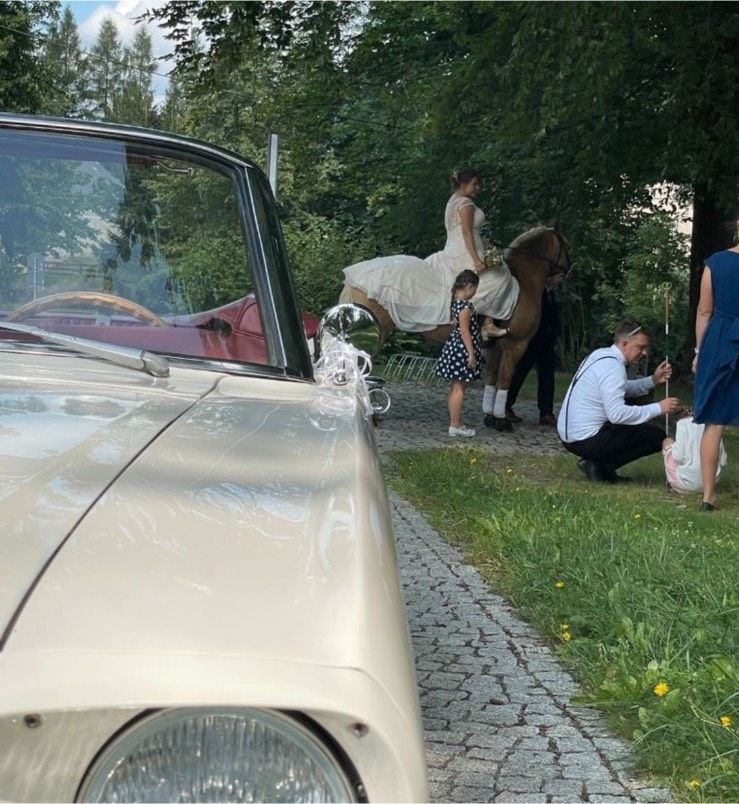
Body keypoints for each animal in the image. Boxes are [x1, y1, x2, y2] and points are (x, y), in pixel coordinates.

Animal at [342, 225, 572, 428]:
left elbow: (492, 379)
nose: (569, 269)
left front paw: (490, 417)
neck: (523, 282)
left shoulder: (494, 349)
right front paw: (502, 421)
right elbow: (505, 380)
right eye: (564, 244)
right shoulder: (516, 344)